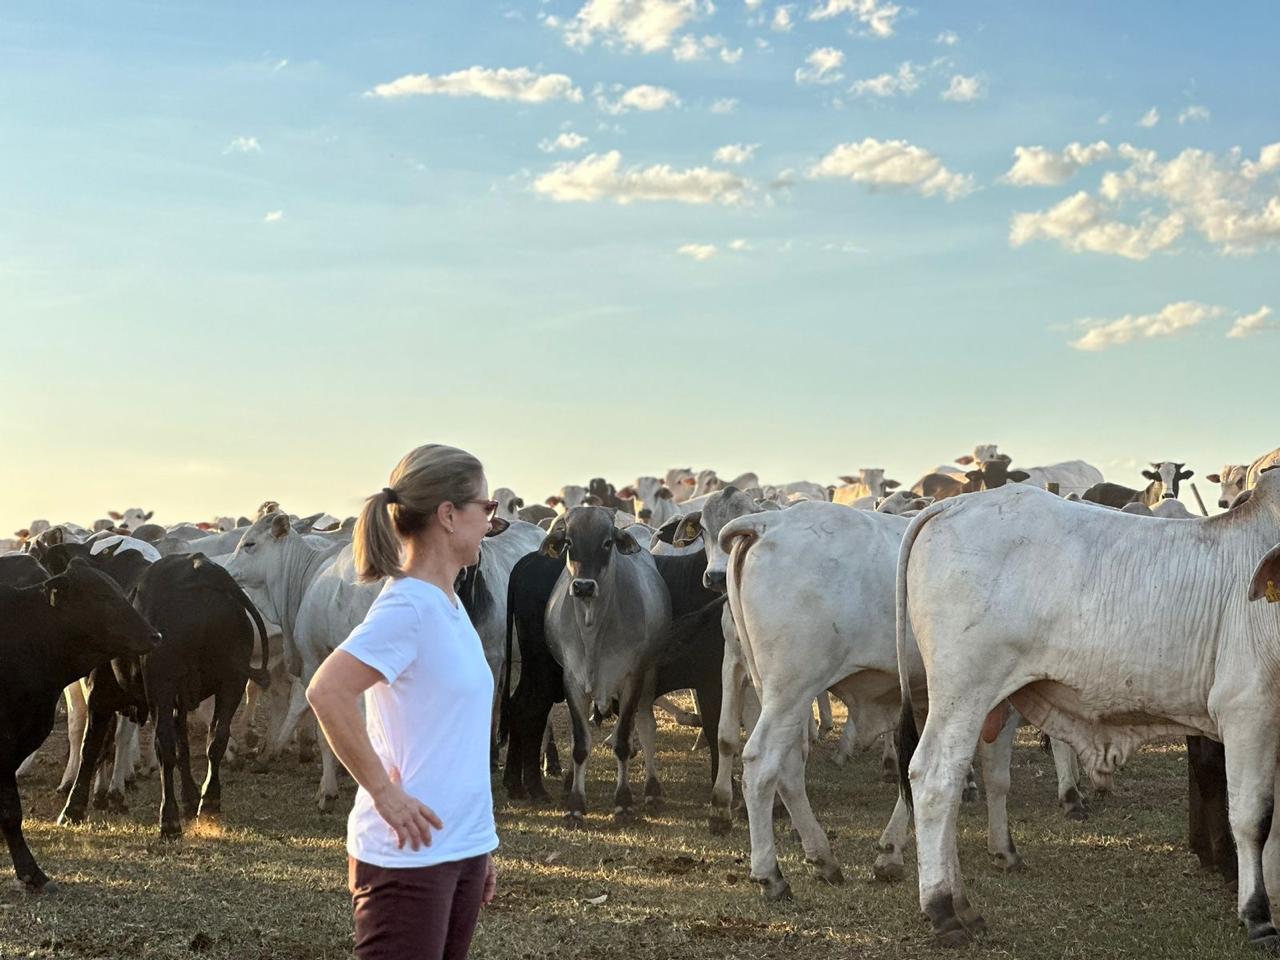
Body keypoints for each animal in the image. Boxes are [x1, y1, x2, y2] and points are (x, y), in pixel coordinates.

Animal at [896, 468, 1280, 957]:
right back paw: (943, 910)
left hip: (988, 702)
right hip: (960, 691)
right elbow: (1253, 818)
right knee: (934, 780)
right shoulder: (1249, 710)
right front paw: (1257, 915)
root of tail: (952, 504)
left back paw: (964, 902)